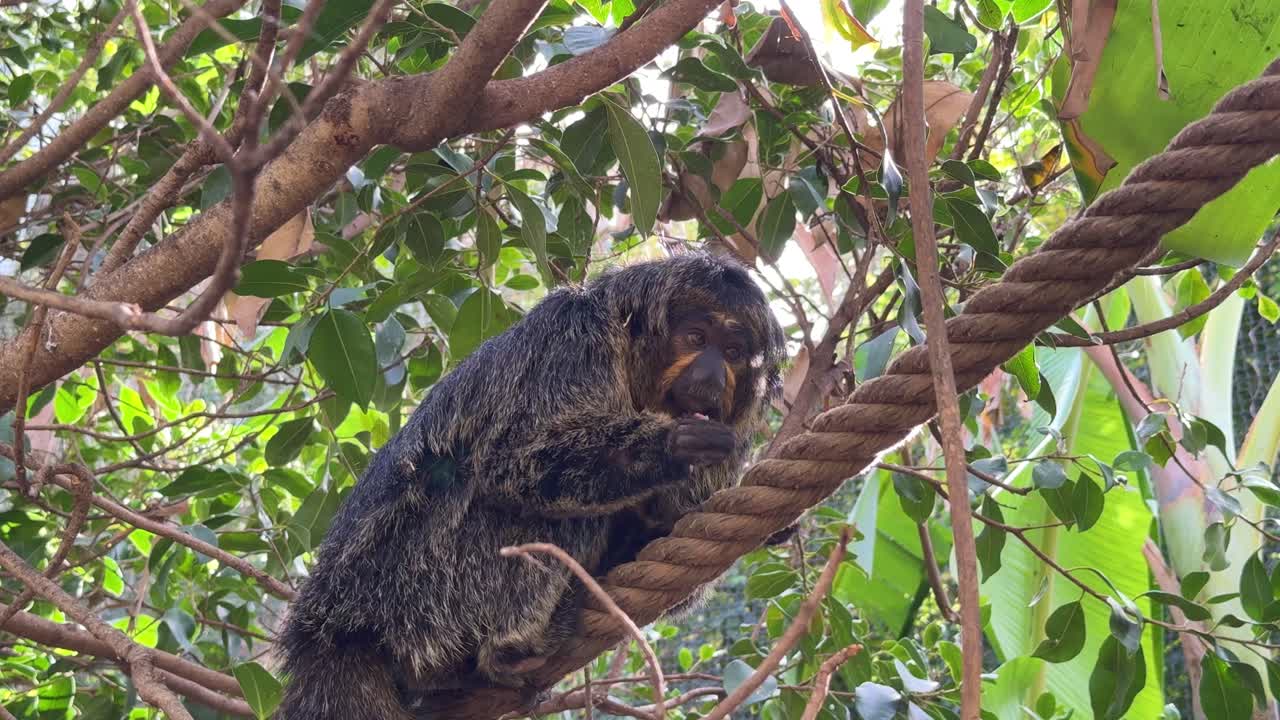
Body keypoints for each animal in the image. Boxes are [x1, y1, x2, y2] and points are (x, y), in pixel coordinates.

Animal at [274, 252, 785, 719]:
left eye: (733, 353)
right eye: (696, 339)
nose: (712, 375)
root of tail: (328, 626)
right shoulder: (573, 340)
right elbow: (514, 459)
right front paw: (671, 446)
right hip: (419, 585)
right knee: (540, 510)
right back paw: (514, 649)